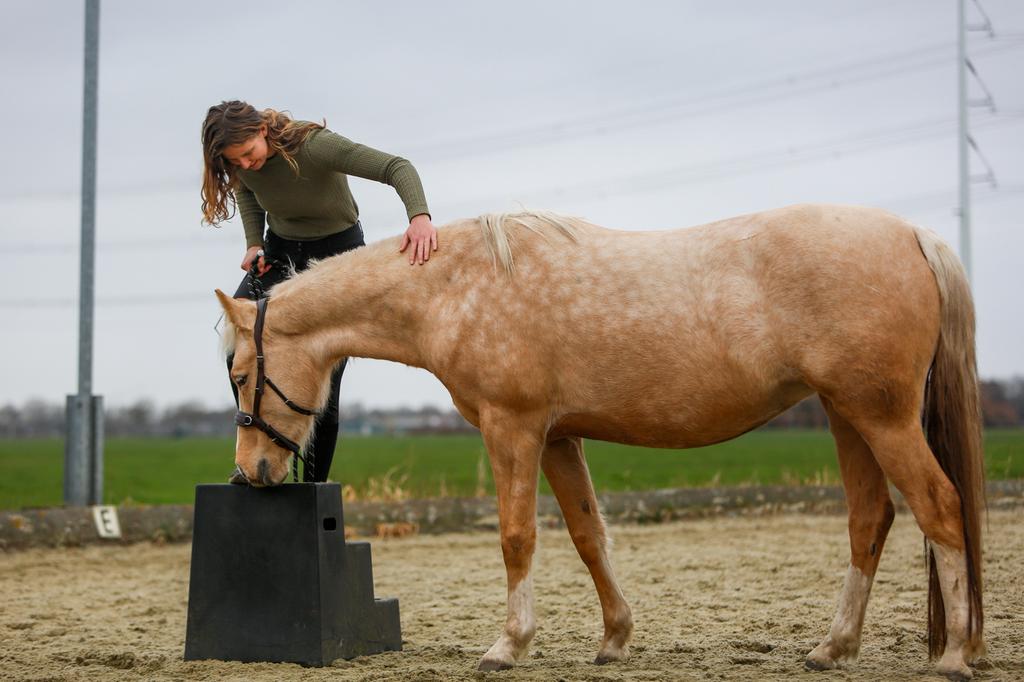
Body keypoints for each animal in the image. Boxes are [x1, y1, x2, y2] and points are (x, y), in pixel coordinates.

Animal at [215, 204, 985, 680]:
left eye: (241, 372)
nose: (251, 471)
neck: (458, 287)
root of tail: (915, 235)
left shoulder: (514, 428)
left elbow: (517, 536)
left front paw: (508, 645)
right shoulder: (559, 438)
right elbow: (589, 535)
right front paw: (614, 638)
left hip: (881, 417)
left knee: (942, 507)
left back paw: (953, 656)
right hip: (846, 415)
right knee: (871, 520)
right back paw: (833, 647)